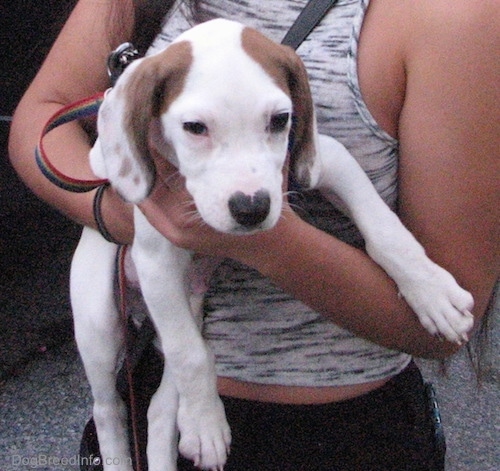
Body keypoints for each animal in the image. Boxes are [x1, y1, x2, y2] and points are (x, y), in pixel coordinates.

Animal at [70, 18, 472, 471]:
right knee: (110, 407)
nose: (252, 208)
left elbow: (385, 228)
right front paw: (207, 421)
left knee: (160, 407)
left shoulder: (326, 158)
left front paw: (432, 292)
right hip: (101, 320)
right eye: (195, 128)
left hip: (189, 299)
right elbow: (189, 354)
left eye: (280, 120)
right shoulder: (156, 260)